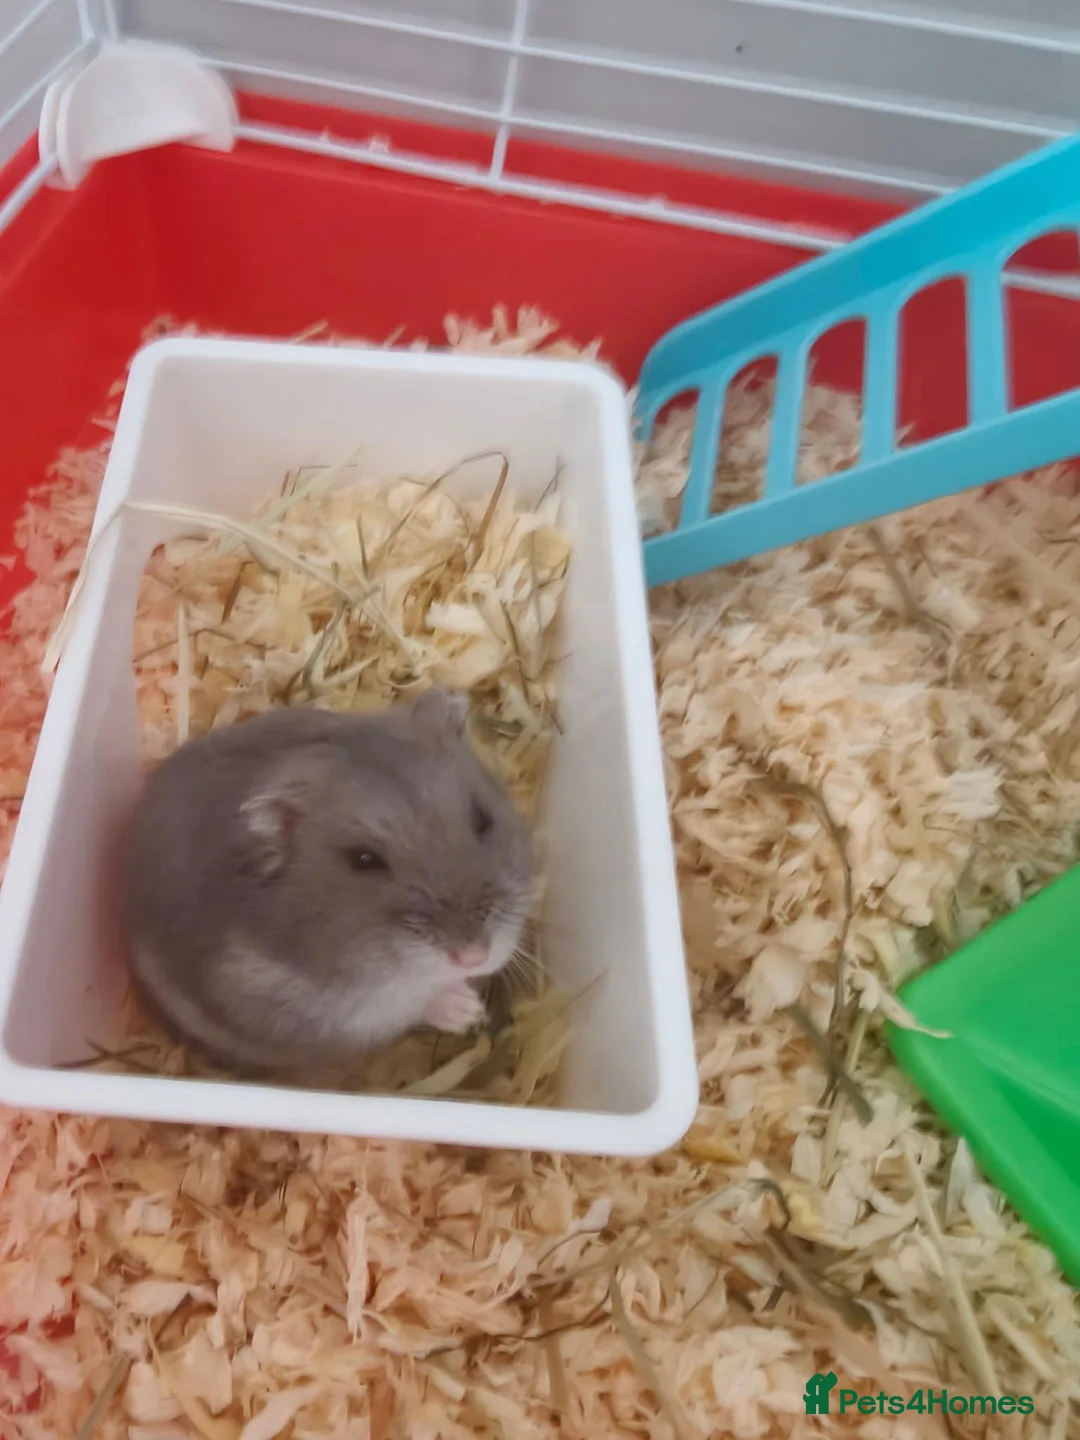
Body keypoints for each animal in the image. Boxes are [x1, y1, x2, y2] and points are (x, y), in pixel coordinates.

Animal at [122, 687, 535, 1077]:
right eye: (364, 860)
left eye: (482, 819)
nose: (474, 957)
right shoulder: (340, 1015)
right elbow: (409, 1004)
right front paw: (467, 1010)